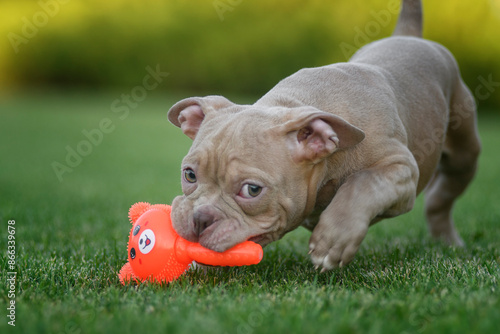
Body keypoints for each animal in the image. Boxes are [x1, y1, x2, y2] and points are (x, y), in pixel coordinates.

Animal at [167, 0, 480, 270]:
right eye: (189, 175)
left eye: (252, 190)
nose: (199, 219)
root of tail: (408, 35)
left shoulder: (400, 169)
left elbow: (362, 183)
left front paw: (333, 239)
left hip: (463, 149)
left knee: (441, 196)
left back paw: (448, 242)